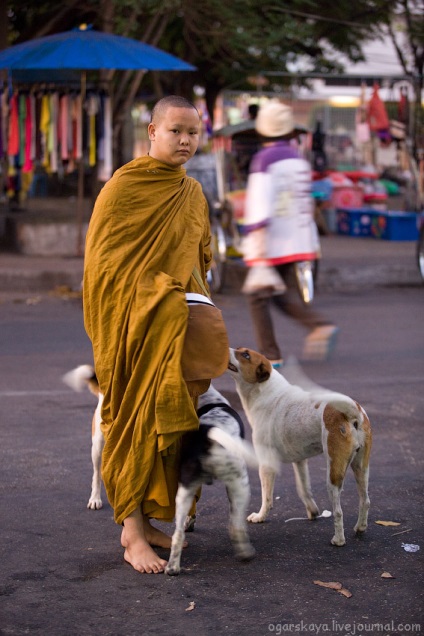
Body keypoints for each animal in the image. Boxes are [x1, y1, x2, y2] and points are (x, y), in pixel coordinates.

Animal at [229, 348, 372, 548]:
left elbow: (267, 497)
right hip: (361, 468)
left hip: (334, 474)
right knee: (365, 500)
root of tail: (353, 412)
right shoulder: (300, 461)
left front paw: (260, 516)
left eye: (246, 355)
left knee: (338, 511)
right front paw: (312, 511)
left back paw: (338, 540)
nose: (225, 349)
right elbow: (303, 488)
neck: (266, 392)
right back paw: (360, 527)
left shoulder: (266, 464)